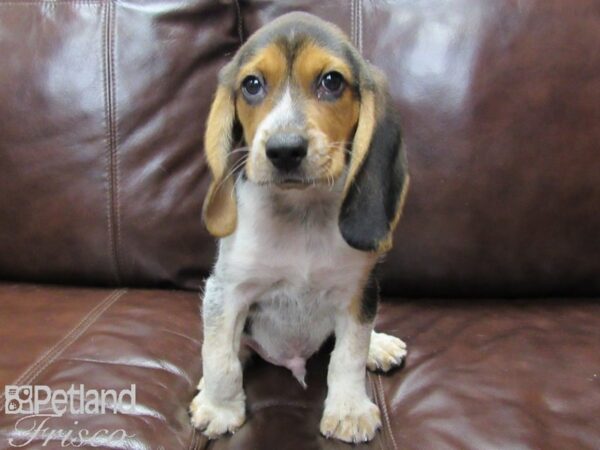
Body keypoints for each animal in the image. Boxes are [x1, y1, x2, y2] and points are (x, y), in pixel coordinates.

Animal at [190, 12, 410, 444]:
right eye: (252, 85)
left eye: (332, 81)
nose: (285, 150)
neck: (301, 213)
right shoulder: (228, 291)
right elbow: (221, 358)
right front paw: (220, 408)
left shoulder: (358, 292)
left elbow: (348, 355)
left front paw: (349, 410)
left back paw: (379, 346)